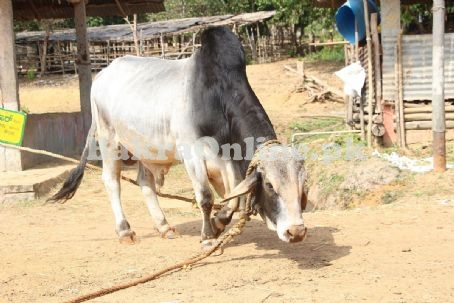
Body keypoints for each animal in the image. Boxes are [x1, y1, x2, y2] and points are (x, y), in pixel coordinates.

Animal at [48, 26, 306, 247]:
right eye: (270, 185)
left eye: (302, 184)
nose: (296, 231)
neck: (216, 95)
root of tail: (103, 73)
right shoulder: (192, 153)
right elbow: (205, 197)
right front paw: (207, 236)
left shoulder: (228, 158)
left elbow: (234, 198)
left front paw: (218, 223)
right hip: (109, 139)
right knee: (112, 182)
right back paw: (125, 231)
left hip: (145, 149)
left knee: (145, 183)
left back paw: (164, 226)